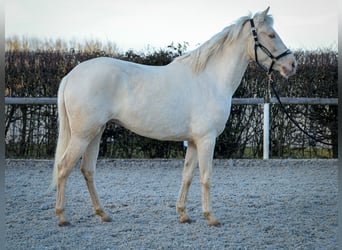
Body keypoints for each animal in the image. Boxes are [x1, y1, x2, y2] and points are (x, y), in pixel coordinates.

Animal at [51, 7, 296, 227]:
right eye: (271, 35)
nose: (292, 64)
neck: (210, 80)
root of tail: (71, 76)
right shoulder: (207, 139)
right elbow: (206, 177)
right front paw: (211, 217)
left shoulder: (194, 142)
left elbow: (187, 175)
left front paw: (183, 214)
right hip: (82, 135)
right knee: (63, 167)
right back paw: (62, 217)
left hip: (95, 133)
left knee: (87, 170)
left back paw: (103, 214)